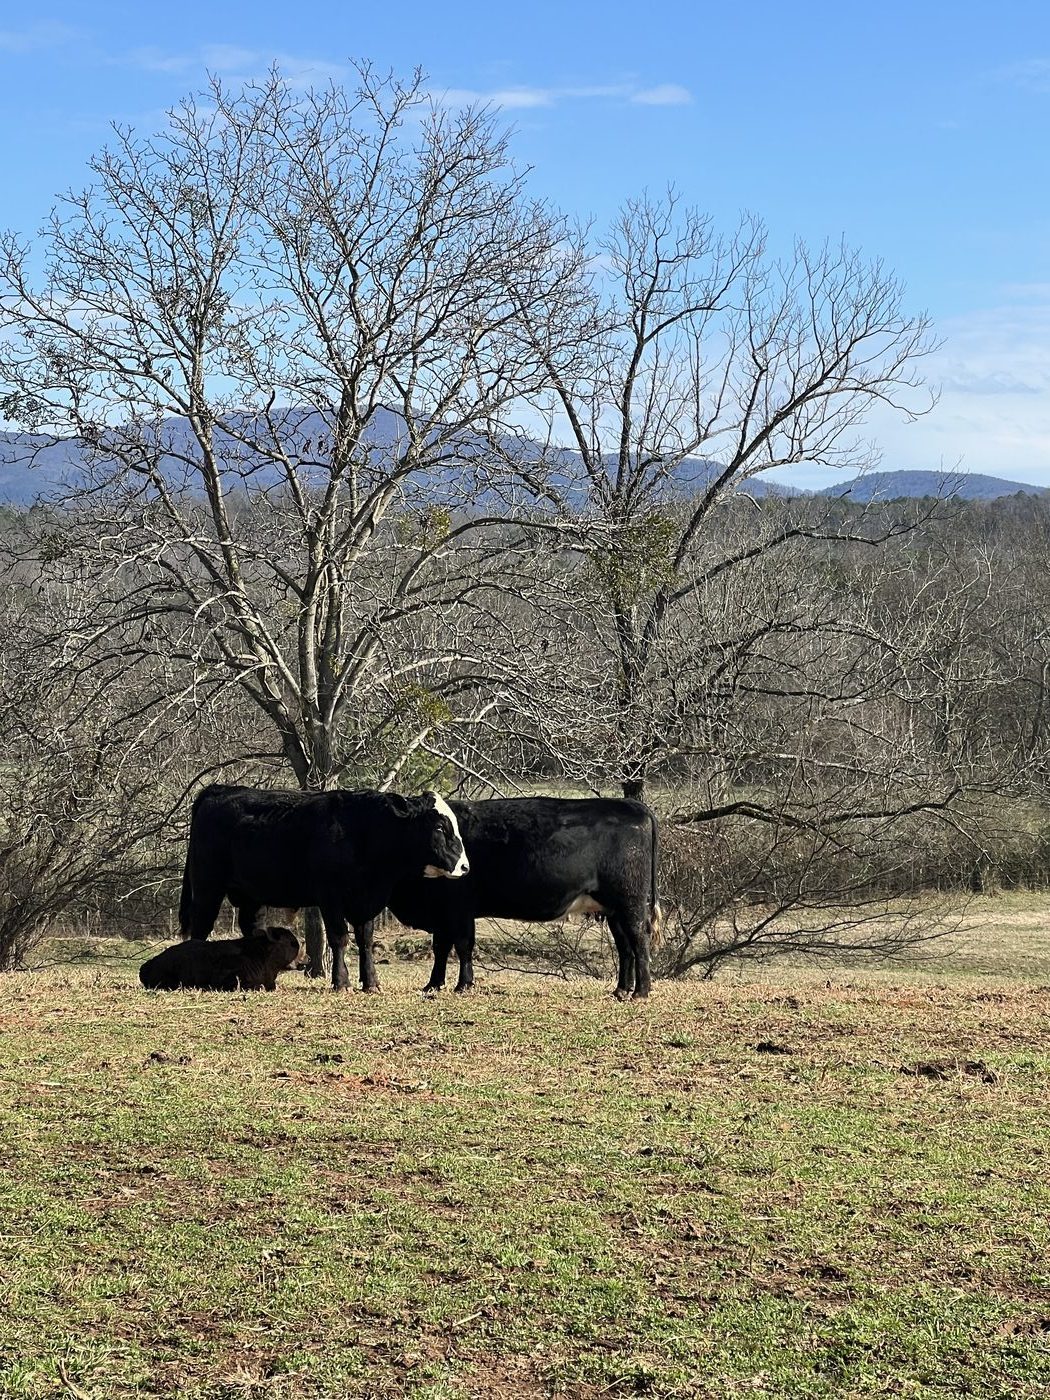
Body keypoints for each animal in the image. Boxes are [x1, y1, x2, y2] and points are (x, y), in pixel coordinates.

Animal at [178, 784, 468, 992]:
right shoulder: (331, 897)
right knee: (201, 926)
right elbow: (339, 937)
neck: (364, 830)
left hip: (251, 894)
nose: (465, 867)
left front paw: (371, 983)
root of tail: (218, 789)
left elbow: (365, 939)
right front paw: (342, 982)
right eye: (440, 826)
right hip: (207, 888)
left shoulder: (365, 900)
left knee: (252, 927)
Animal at [373, 796, 661, 1000]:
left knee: (638, 940)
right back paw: (621, 990)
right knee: (625, 946)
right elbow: (441, 948)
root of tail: (630, 804)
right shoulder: (443, 912)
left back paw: (641, 992)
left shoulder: (459, 910)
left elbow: (463, 946)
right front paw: (433, 984)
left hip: (630, 903)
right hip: (613, 909)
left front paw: (463, 984)